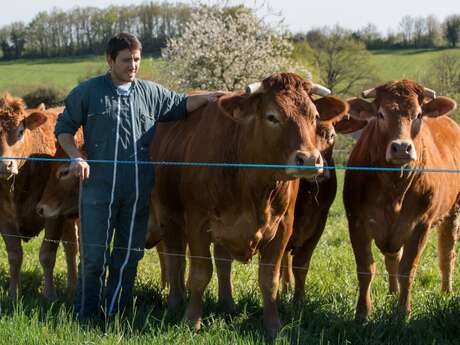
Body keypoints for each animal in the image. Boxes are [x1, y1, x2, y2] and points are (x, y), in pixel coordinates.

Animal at [0, 94, 76, 298]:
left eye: (20, 131)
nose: (5, 165)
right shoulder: (4, 218)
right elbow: (14, 255)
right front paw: (13, 294)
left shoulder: (53, 214)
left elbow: (47, 255)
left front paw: (49, 294)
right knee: (71, 245)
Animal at [152, 73, 348, 336]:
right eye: (272, 116)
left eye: (315, 116)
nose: (309, 159)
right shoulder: (198, 223)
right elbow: (199, 274)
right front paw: (192, 320)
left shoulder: (283, 228)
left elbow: (269, 279)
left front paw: (273, 326)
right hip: (169, 217)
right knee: (175, 259)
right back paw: (175, 302)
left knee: (222, 263)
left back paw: (227, 303)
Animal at [344, 79, 460, 322]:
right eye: (380, 114)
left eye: (418, 114)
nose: (401, 147)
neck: (394, 187)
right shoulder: (357, 222)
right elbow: (366, 268)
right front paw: (362, 313)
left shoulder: (420, 225)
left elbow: (408, 269)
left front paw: (403, 313)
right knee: (392, 258)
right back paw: (392, 292)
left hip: (453, 211)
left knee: (447, 253)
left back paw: (446, 291)